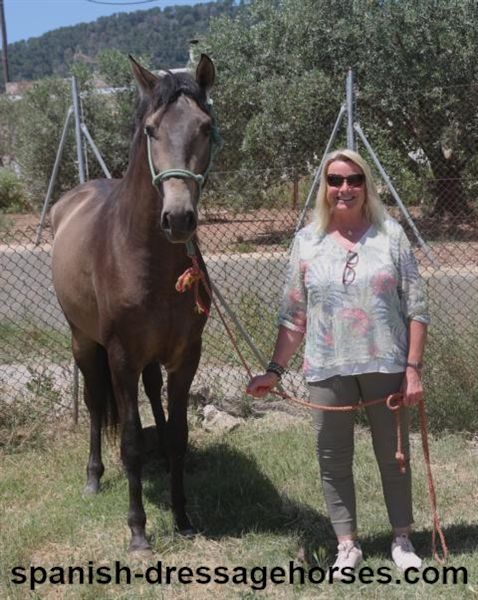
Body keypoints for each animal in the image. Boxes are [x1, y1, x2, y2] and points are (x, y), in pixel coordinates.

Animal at [51, 54, 218, 552]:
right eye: (150, 129)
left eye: (206, 126)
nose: (178, 218)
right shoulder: (121, 357)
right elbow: (127, 442)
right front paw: (139, 530)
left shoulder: (185, 356)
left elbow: (179, 434)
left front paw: (182, 517)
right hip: (84, 344)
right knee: (93, 404)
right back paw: (93, 477)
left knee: (151, 394)